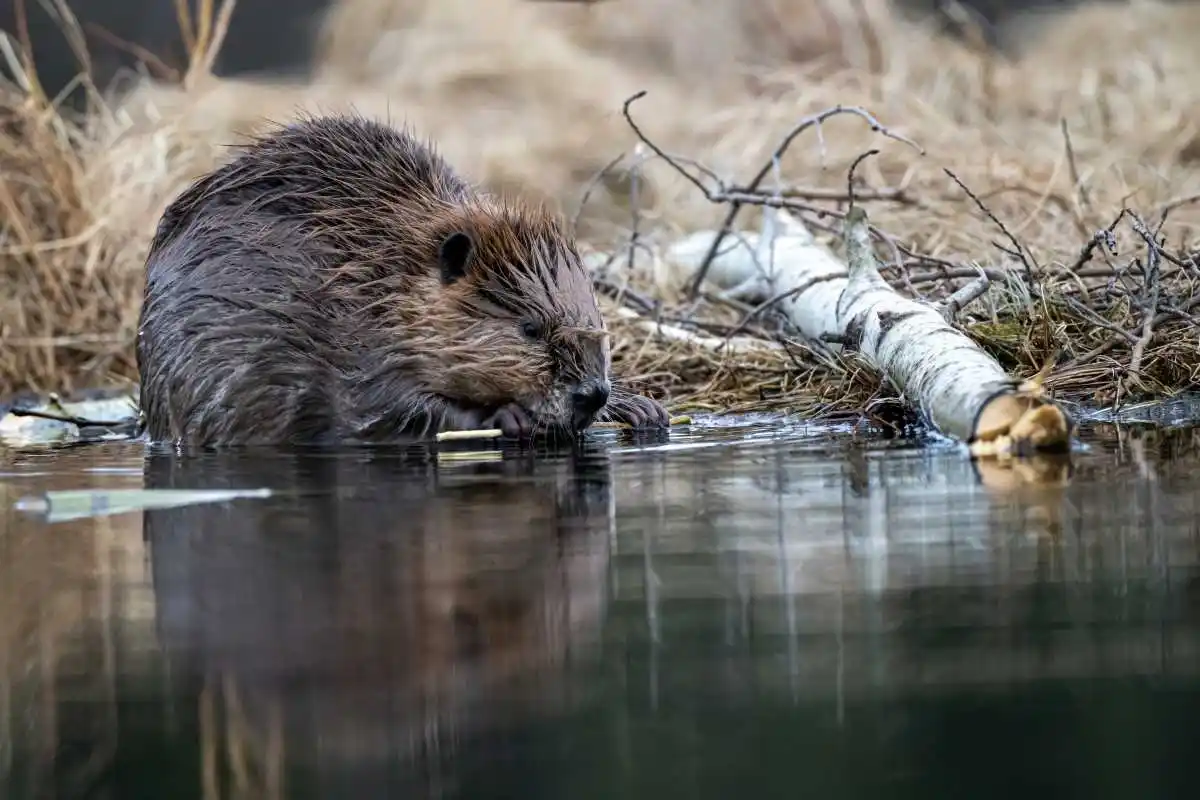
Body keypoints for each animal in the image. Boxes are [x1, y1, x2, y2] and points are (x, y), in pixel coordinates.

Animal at [138, 115, 676, 448]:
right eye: (529, 328)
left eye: (597, 319)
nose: (592, 393)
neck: (375, 275)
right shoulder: (351, 346)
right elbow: (385, 409)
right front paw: (504, 417)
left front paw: (641, 408)